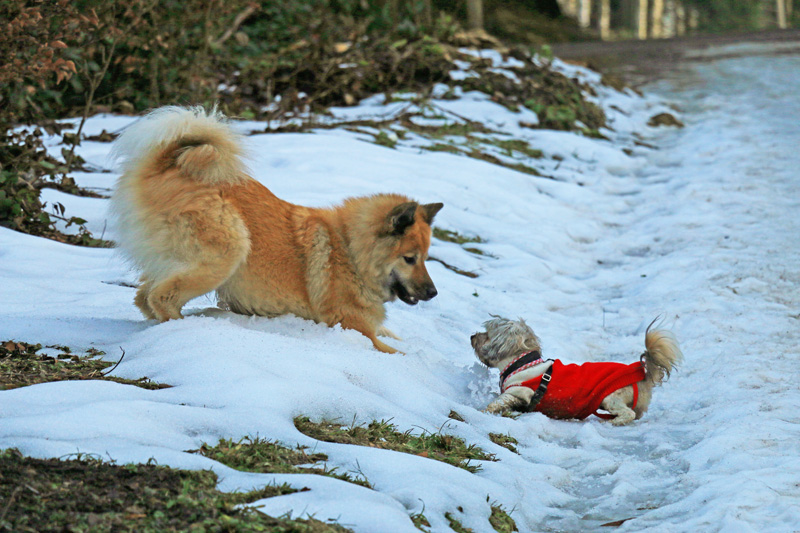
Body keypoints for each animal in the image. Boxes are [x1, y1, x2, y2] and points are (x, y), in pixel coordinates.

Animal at [109, 105, 440, 352]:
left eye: (426, 258)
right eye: (410, 259)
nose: (434, 292)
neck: (351, 252)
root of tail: (165, 164)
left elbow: (390, 333)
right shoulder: (352, 326)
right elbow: (392, 350)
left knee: (143, 297)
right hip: (227, 253)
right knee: (160, 298)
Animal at [472, 316, 684, 424]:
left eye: (487, 335)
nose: (472, 336)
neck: (521, 363)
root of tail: (642, 374)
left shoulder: (518, 392)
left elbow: (497, 402)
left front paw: (482, 411)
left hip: (610, 397)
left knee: (628, 414)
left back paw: (612, 422)